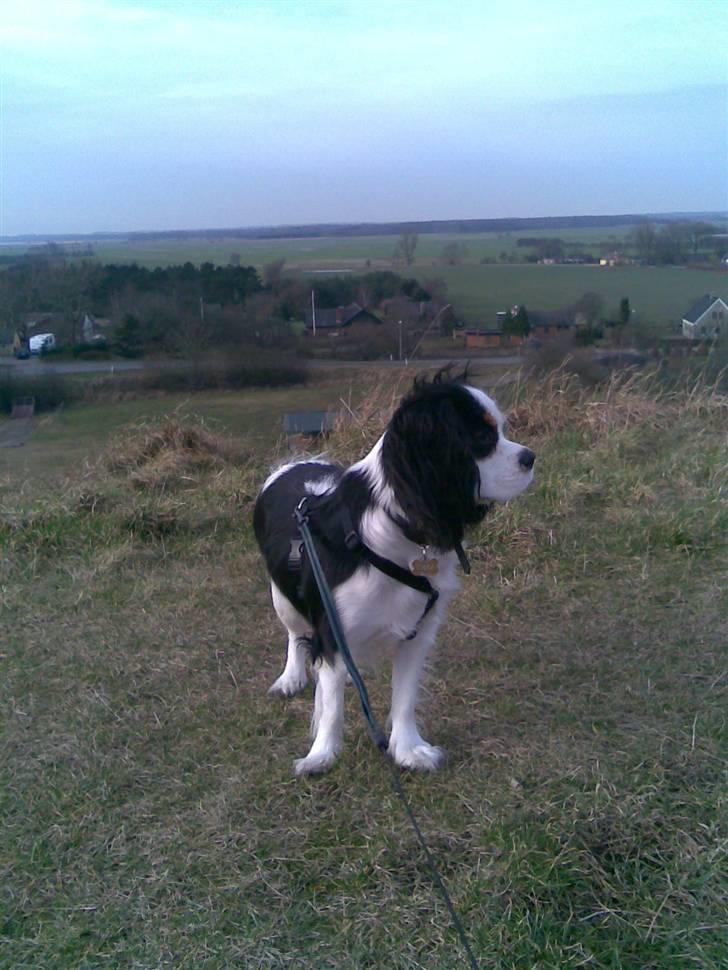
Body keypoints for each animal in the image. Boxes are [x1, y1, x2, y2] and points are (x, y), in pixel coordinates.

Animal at [252, 370, 536, 772]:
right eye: (482, 438)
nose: (530, 457)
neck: (394, 531)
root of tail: (297, 463)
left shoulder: (417, 632)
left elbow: (404, 697)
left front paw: (408, 750)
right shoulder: (332, 631)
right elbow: (332, 706)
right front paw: (322, 755)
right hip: (282, 597)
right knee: (295, 633)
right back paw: (292, 677)